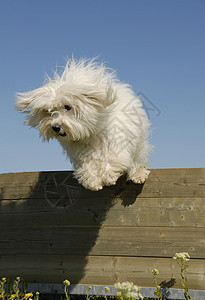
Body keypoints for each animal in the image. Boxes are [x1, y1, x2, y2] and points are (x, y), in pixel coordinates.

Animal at [16, 58, 152, 190]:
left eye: (67, 107)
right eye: (49, 111)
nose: (55, 127)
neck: (90, 132)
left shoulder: (115, 141)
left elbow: (112, 158)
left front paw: (108, 176)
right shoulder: (81, 152)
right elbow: (87, 165)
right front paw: (92, 181)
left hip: (138, 143)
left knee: (137, 160)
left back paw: (138, 174)